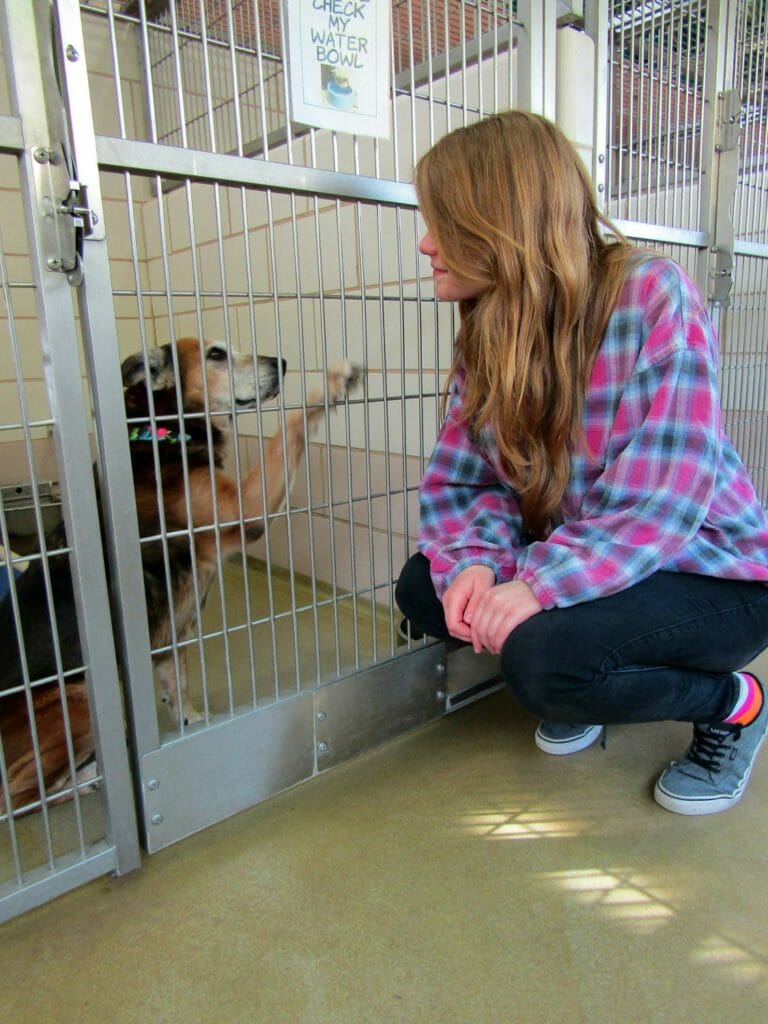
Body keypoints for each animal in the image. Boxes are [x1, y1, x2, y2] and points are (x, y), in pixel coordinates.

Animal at [0, 342, 362, 815]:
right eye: (216, 354)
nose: (280, 364)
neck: (162, 433)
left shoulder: (170, 635)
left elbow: (179, 689)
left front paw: (193, 726)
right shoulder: (245, 508)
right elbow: (290, 426)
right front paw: (331, 384)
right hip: (74, 702)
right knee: (19, 797)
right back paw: (86, 782)